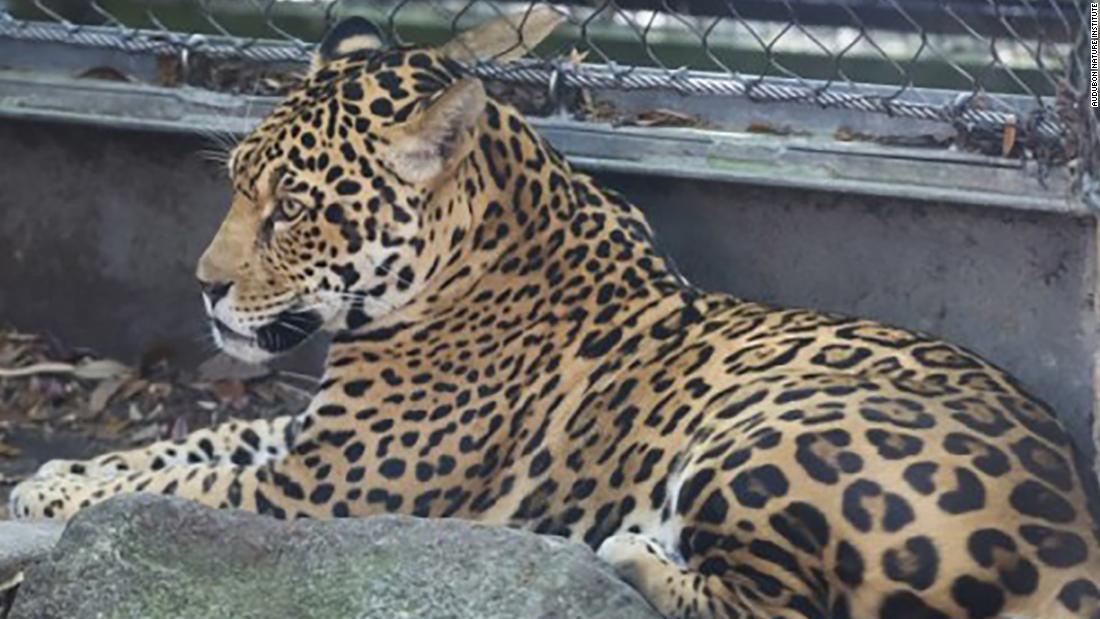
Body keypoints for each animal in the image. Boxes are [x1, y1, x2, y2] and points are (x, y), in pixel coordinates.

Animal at [11, 8, 1100, 619]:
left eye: (293, 209)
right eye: (238, 185)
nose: (204, 284)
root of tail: (1073, 533)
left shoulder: (321, 491)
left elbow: (184, 487)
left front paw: (60, 496)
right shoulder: (310, 439)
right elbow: (185, 448)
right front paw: (57, 478)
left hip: (770, 436)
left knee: (788, 610)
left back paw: (631, 553)